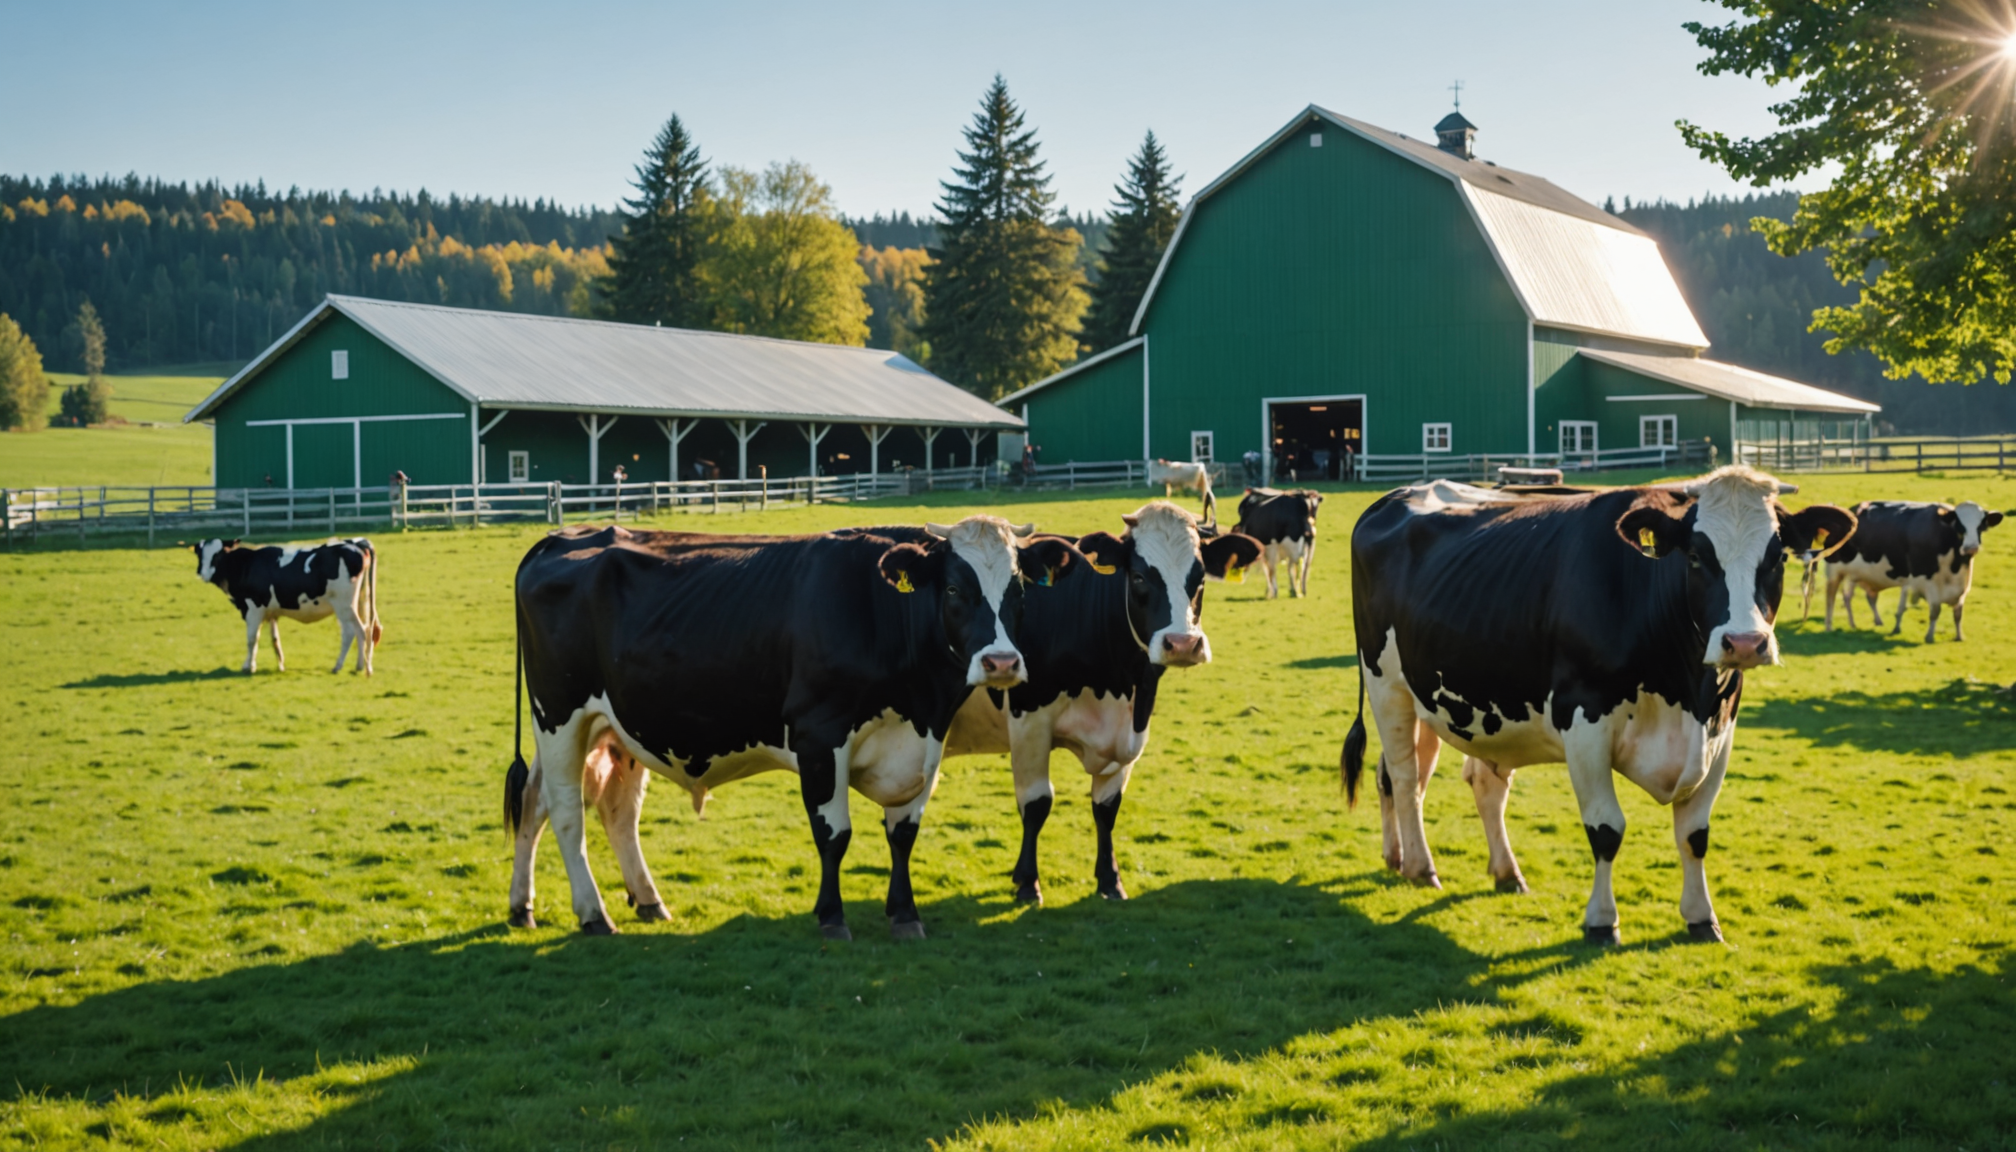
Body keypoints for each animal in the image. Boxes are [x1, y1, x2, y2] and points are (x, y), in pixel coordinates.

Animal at [190, 538, 381, 675]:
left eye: (218, 555)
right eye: (200, 554)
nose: (202, 573)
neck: (247, 565)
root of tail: (355, 544)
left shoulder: (253, 608)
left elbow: (252, 639)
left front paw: (249, 666)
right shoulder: (271, 612)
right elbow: (275, 639)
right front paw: (280, 665)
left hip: (343, 606)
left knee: (351, 632)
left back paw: (338, 666)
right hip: (356, 603)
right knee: (363, 630)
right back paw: (359, 666)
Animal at [503, 517, 1076, 940]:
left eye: (1019, 591)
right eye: (956, 588)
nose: (1002, 663)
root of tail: (563, 536)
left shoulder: (922, 744)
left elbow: (902, 835)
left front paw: (905, 915)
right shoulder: (819, 737)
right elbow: (834, 834)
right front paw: (832, 918)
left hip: (616, 726)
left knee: (597, 807)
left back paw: (593, 903)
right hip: (559, 717)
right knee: (565, 810)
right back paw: (593, 914)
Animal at [1341, 467, 1855, 944]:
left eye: (1778, 557)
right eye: (1695, 557)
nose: (1746, 643)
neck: (1684, 691)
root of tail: (1397, 494)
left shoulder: (1719, 729)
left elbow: (1694, 834)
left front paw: (1701, 917)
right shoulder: (1584, 722)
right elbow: (1607, 829)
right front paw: (1602, 922)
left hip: (1442, 696)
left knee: (1465, 783)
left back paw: (1486, 870)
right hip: (1387, 685)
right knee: (1403, 777)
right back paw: (1420, 867)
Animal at [1824, 500, 2004, 641]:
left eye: (1981, 526)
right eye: (1960, 526)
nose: (1971, 547)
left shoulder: (1962, 585)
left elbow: (1958, 613)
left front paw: (1959, 636)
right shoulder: (1927, 579)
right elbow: (1935, 610)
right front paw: (1929, 636)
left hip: (1857, 575)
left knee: (1859, 597)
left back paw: (1862, 623)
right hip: (1834, 571)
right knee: (1831, 598)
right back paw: (1829, 626)